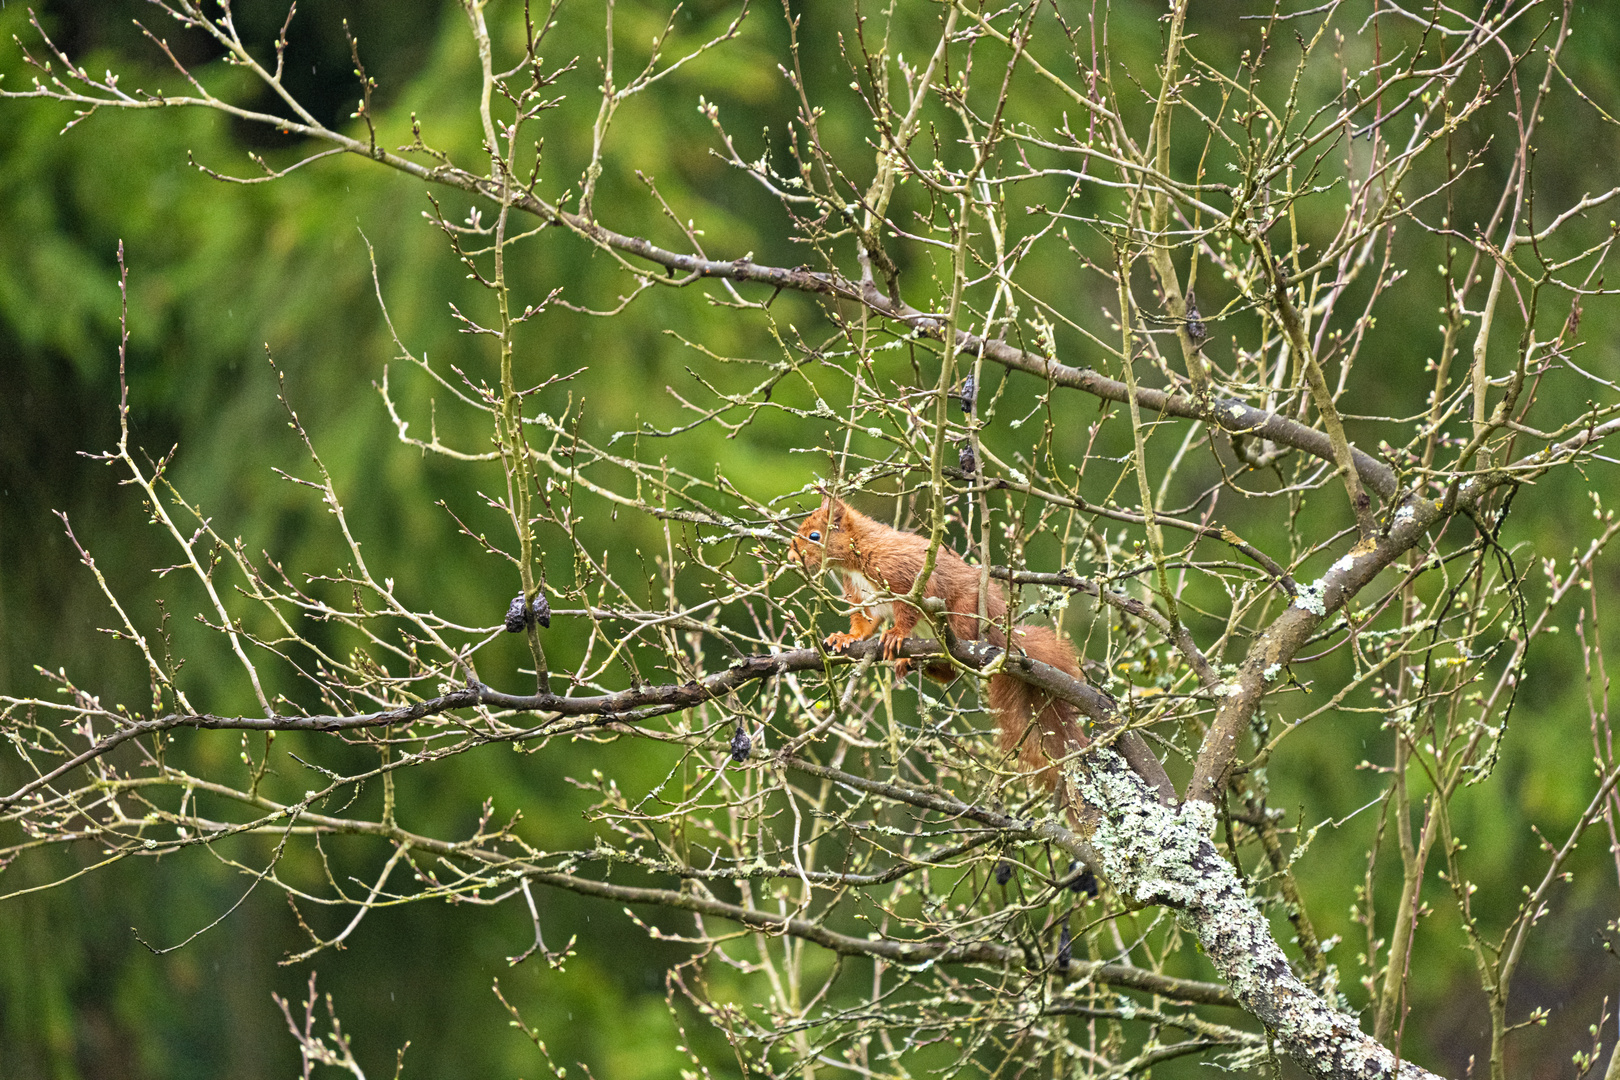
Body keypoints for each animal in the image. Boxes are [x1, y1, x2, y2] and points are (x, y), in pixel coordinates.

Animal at [787, 495, 1088, 786]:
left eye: (814, 536)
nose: (791, 556)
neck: (856, 555)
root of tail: (1003, 636)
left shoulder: (903, 578)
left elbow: (906, 611)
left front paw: (895, 633)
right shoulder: (864, 597)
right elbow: (864, 623)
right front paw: (844, 638)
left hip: (965, 616)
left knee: (957, 660)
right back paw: (916, 662)